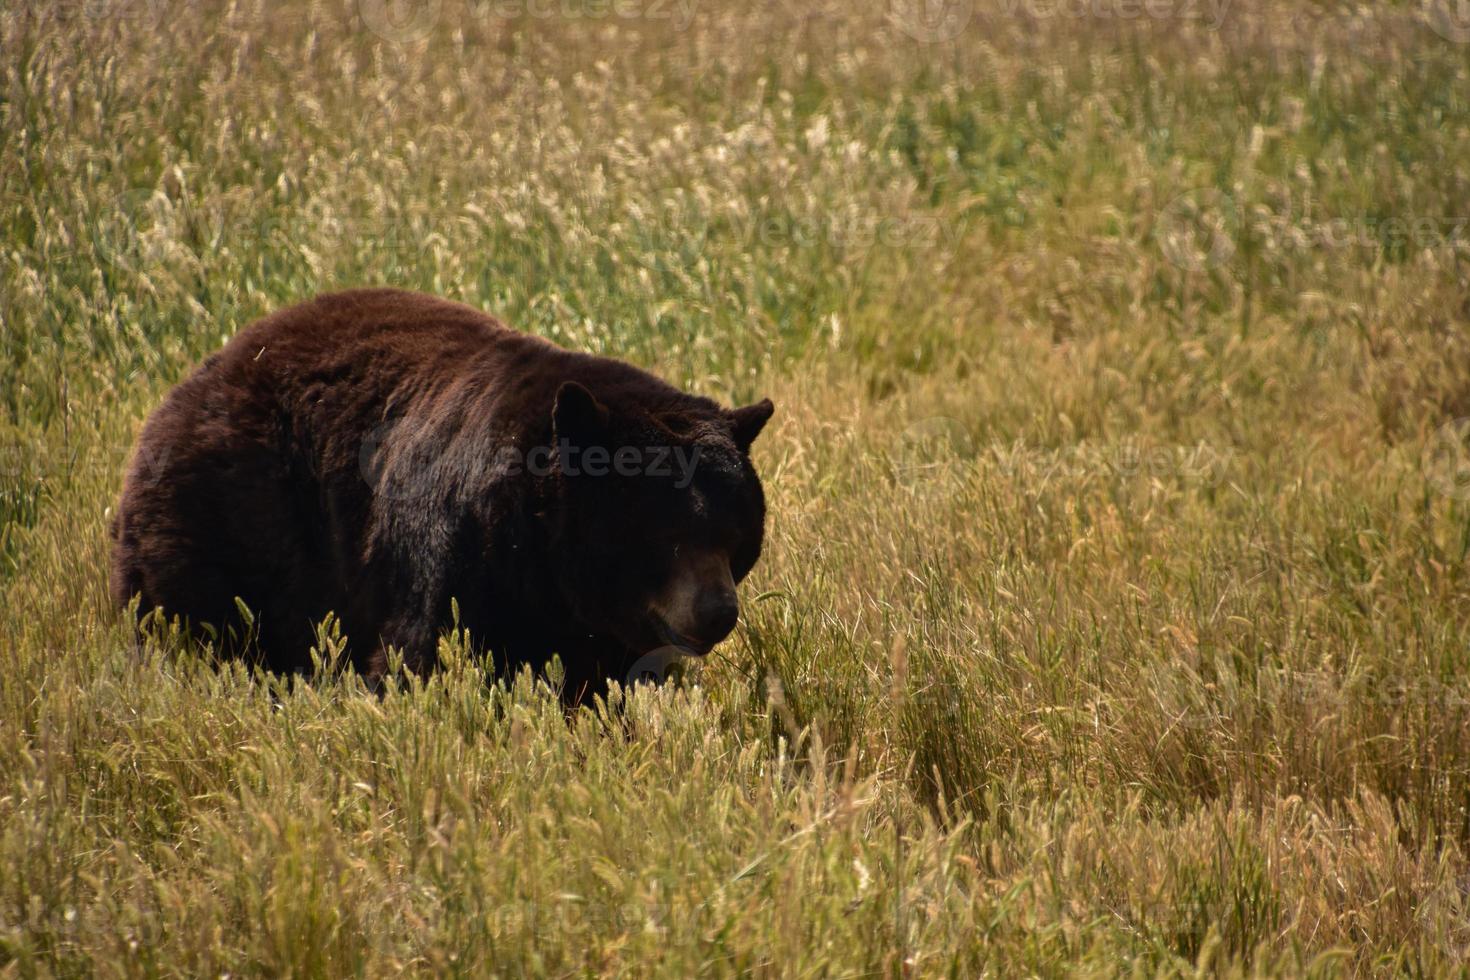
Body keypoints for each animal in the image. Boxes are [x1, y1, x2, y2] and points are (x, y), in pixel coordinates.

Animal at [108, 287, 776, 702]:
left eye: (736, 534)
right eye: (664, 535)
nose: (717, 612)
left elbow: (608, 680)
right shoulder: (453, 554)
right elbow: (422, 655)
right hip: (226, 516)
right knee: (195, 618)